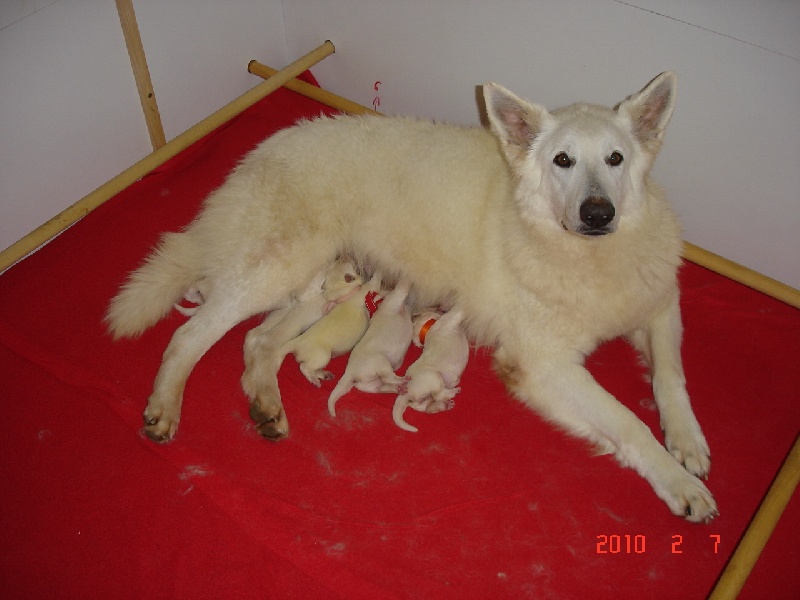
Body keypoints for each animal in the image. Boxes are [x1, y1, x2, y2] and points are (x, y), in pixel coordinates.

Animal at [324, 280, 412, 418]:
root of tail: (350, 371)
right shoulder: (396, 298)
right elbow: (402, 287)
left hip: (370, 384)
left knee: (383, 386)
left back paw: (400, 388)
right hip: (380, 361)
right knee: (389, 378)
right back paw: (402, 380)